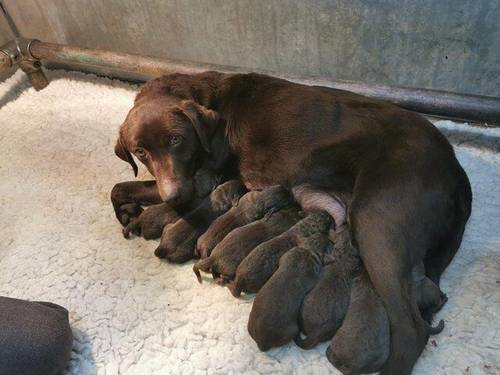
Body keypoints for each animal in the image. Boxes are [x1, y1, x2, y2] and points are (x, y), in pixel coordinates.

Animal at [112, 72, 472, 374]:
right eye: (140, 151)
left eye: (176, 139)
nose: (173, 197)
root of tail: (454, 167)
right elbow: (120, 187)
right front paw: (128, 211)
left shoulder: (201, 180)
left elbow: (121, 186)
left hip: (375, 222)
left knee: (411, 329)